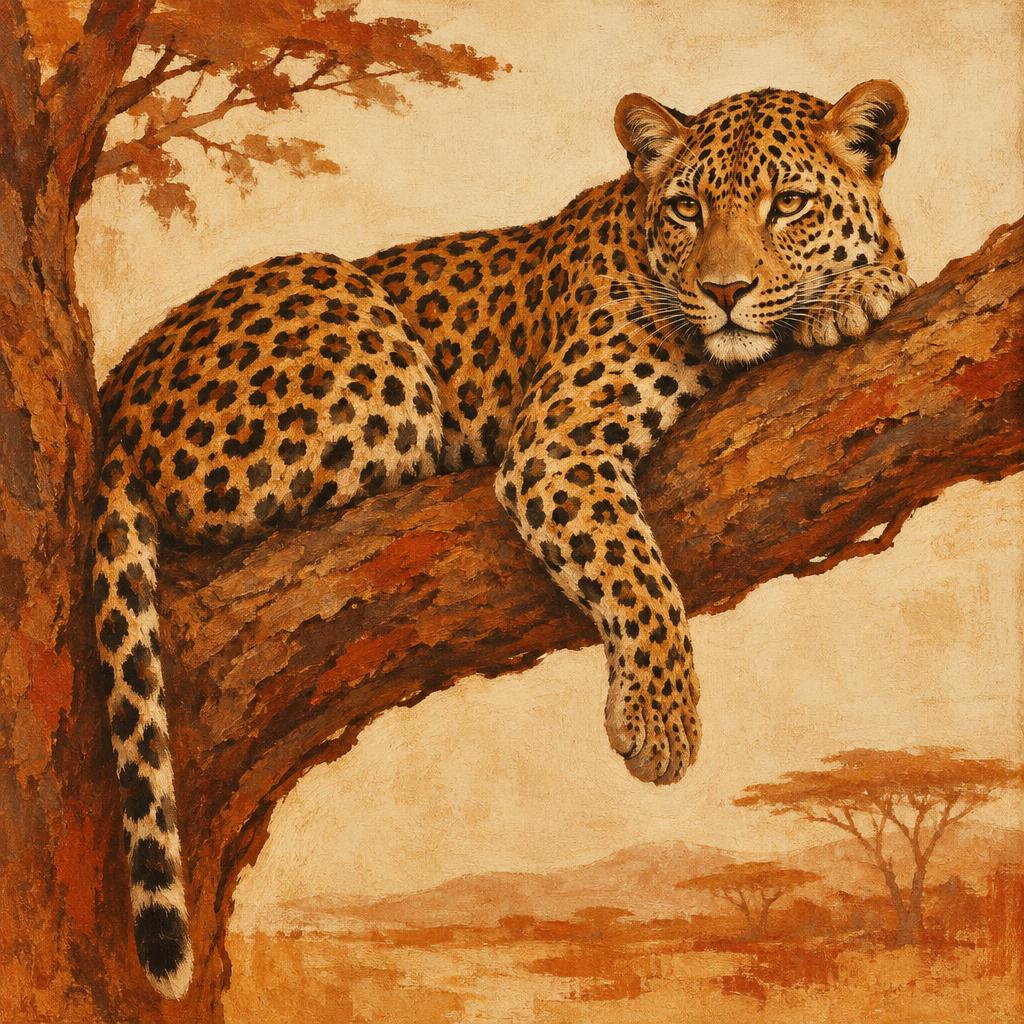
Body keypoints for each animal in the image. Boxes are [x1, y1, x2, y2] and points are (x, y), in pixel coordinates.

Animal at [91, 79, 913, 998]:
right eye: (688, 209)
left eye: (789, 205)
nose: (725, 288)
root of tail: (119, 388)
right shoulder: (558, 441)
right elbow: (639, 573)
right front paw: (661, 723)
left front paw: (860, 285)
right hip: (368, 350)